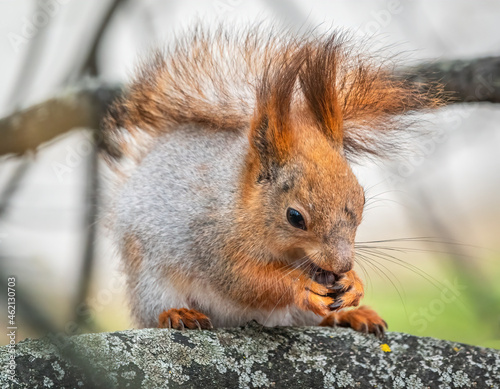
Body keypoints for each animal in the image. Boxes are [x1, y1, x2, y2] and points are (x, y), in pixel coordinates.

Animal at [100, 25, 442, 336]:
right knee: (155, 310)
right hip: (150, 281)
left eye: (362, 200)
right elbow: (246, 281)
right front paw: (302, 286)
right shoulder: (213, 243)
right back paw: (177, 314)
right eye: (295, 217)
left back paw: (350, 316)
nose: (343, 265)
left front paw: (354, 283)